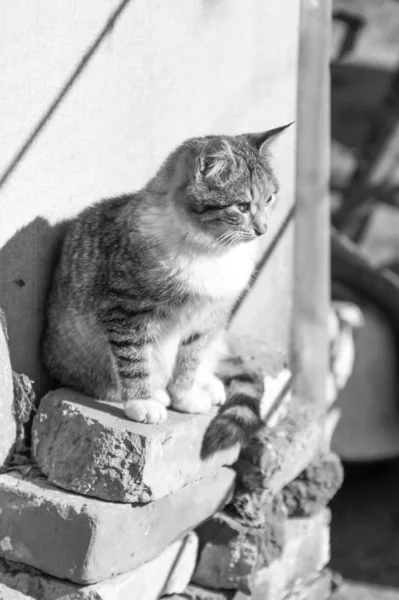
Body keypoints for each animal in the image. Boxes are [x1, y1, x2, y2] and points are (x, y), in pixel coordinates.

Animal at [41, 126, 290, 428]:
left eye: (270, 198)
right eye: (242, 206)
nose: (263, 229)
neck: (211, 249)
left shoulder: (208, 316)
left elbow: (190, 358)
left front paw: (185, 395)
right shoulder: (125, 310)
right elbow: (133, 358)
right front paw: (142, 401)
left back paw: (206, 384)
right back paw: (156, 393)